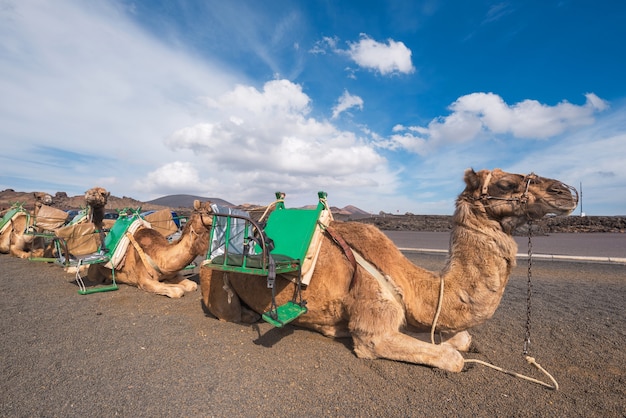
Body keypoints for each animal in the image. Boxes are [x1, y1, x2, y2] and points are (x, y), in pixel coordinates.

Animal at [85, 199, 213, 298]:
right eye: (209, 211)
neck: (159, 257)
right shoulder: (144, 281)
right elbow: (177, 291)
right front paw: (172, 285)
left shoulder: (172, 274)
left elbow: (192, 285)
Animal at [200, 168, 576, 370]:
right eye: (506, 185)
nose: (566, 191)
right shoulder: (373, 330)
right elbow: (452, 357)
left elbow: (461, 338)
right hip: (214, 277)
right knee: (227, 309)